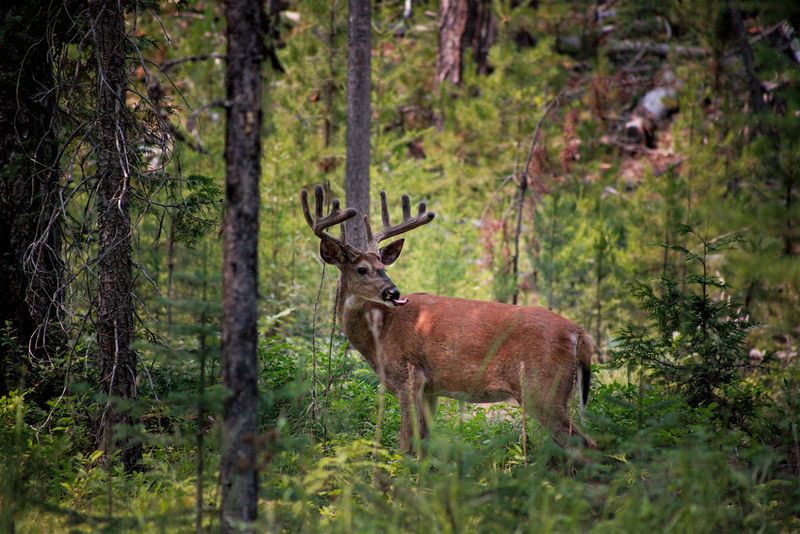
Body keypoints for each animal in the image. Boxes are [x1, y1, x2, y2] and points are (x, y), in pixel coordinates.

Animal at [300, 184, 597, 453]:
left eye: (383, 267)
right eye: (362, 269)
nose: (393, 292)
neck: (380, 333)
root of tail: (579, 333)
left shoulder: (409, 376)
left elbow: (405, 445)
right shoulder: (431, 388)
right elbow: (424, 445)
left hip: (542, 388)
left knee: (587, 445)